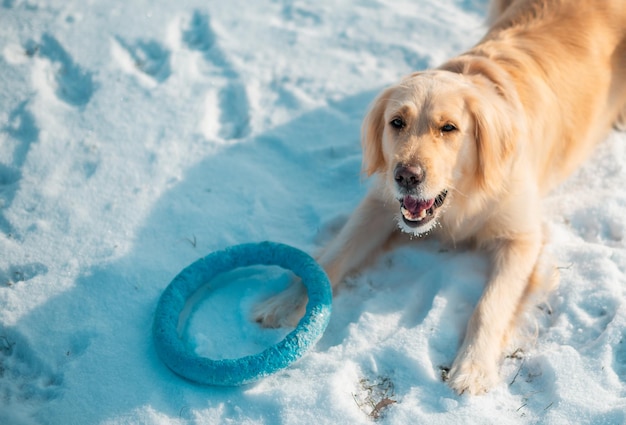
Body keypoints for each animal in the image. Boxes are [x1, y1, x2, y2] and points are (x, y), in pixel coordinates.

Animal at [252, 0, 624, 396]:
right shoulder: (381, 204)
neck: (463, 197)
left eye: (449, 128)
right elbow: (334, 254)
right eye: (396, 122)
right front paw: (285, 303)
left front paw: (473, 368)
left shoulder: (522, 237)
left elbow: (489, 306)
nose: (406, 177)